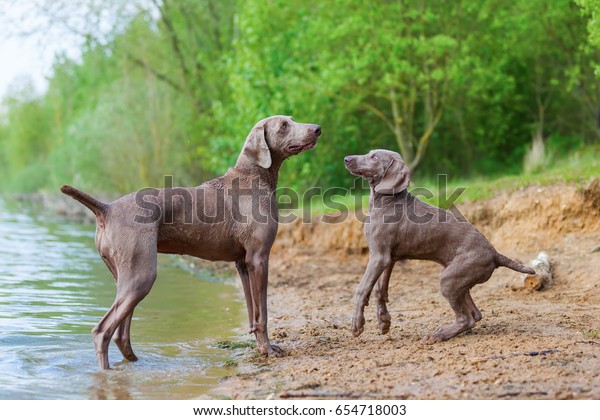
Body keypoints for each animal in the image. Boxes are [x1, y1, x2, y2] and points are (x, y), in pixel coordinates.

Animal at [60, 115, 322, 368]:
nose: (318, 129)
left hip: (124, 277)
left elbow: (252, 312)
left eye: (292, 119)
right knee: (102, 331)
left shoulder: (243, 262)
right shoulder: (259, 258)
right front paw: (268, 350)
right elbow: (263, 313)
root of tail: (107, 209)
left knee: (120, 333)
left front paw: (260, 346)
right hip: (141, 276)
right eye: (284, 125)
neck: (253, 176)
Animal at [342, 149, 536, 342]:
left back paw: (437, 336)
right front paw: (384, 321)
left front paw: (357, 324)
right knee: (475, 314)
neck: (387, 200)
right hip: (459, 279)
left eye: (374, 157)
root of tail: (495, 253)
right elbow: (379, 290)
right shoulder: (389, 258)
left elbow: (362, 289)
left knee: (466, 319)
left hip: (448, 279)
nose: (346, 158)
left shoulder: (378, 256)